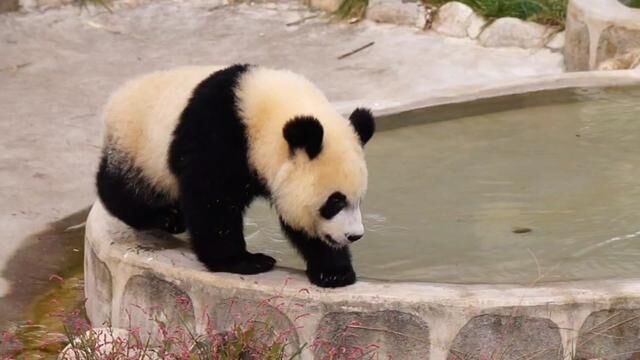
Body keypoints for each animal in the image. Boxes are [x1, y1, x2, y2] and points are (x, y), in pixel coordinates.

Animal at [95, 64, 376, 288]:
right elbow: (212, 202)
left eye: (358, 200)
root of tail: (117, 97)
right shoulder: (218, 136)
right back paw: (162, 216)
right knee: (123, 187)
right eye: (335, 201)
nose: (354, 236)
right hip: (140, 146)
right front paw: (244, 262)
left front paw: (334, 271)